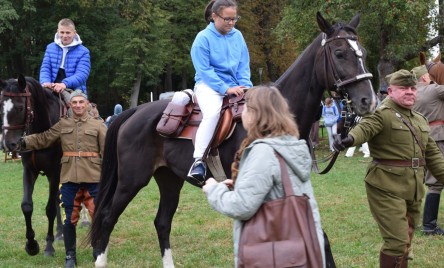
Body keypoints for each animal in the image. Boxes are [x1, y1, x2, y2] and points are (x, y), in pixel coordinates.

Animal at [0, 74, 63, 256]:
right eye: (1, 108)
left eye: (20, 108)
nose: (8, 144)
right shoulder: (29, 171)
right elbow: (27, 206)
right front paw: (31, 244)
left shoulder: (55, 172)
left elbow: (50, 209)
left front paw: (48, 246)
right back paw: (59, 232)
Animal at [91, 11, 378, 266]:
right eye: (339, 53)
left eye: (362, 53)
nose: (368, 100)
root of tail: (135, 112)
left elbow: (317, 235)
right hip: (131, 181)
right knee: (107, 217)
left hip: (169, 180)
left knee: (162, 222)